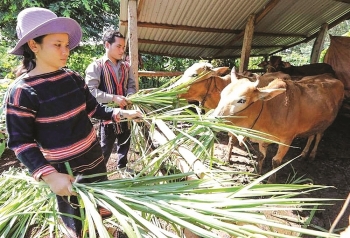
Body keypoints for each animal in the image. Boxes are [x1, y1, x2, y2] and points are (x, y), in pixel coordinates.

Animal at [212, 72, 344, 182]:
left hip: (324, 124)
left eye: (241, 100)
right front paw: (257, 174)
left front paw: (271, 181)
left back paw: (311, 155)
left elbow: (276, 161)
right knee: (311, 136)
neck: (269, 110)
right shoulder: (262, 138)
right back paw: (304, 153)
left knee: (318, 136)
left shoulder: (286, 140)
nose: (213, 119)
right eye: (222, 94)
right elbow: (261, 156)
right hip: (313, 124)